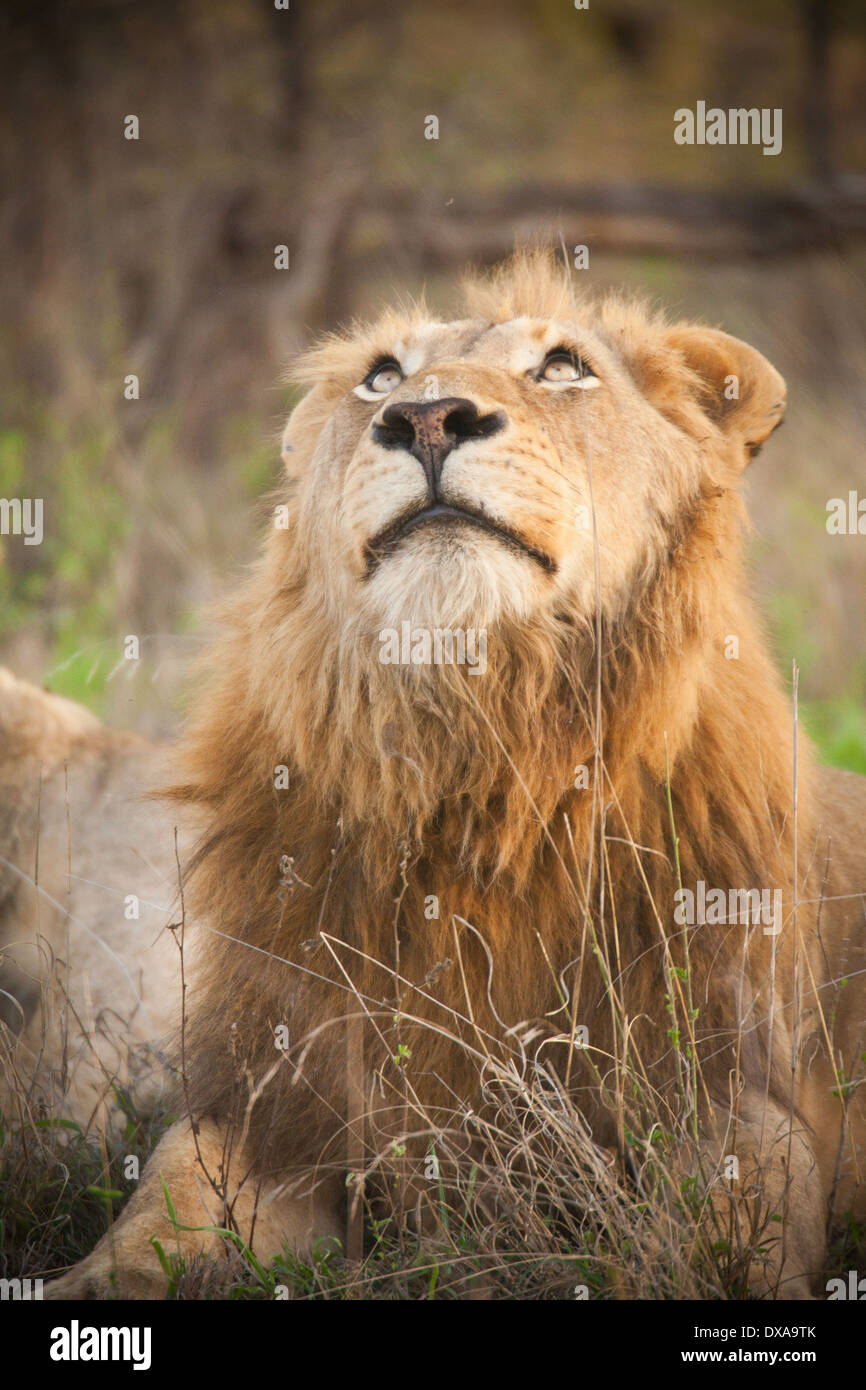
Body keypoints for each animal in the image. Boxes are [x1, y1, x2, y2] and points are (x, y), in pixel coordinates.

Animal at [30, 250, 866, 1299]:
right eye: (381, 376)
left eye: (564, 366)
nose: (425, 418)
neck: (476, 764)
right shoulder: (277, 1104)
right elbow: (159, 1213)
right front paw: (90, 1284)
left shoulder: (735, 1095)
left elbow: (726, 1243)